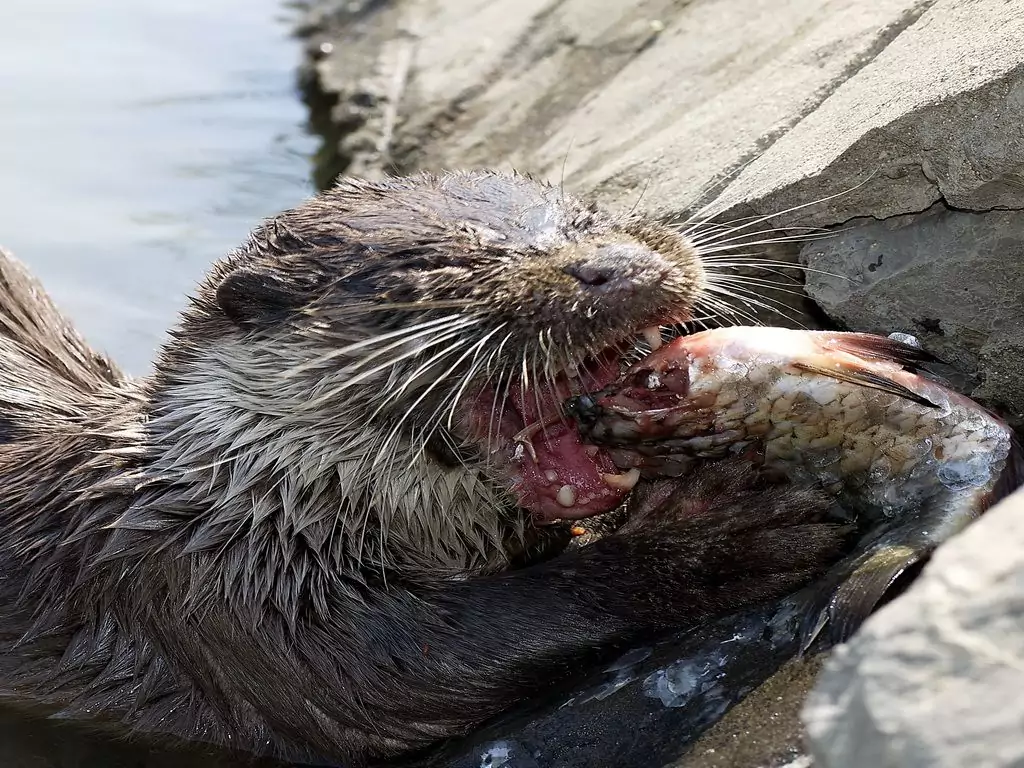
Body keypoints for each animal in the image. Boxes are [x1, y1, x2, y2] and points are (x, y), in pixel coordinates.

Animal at [0, 170, 846, 766]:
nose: (614, 264)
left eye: (587, 213)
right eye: (439, 269)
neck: (245, 497)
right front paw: (726, 536)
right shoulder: (213, 592)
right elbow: (413, 662)